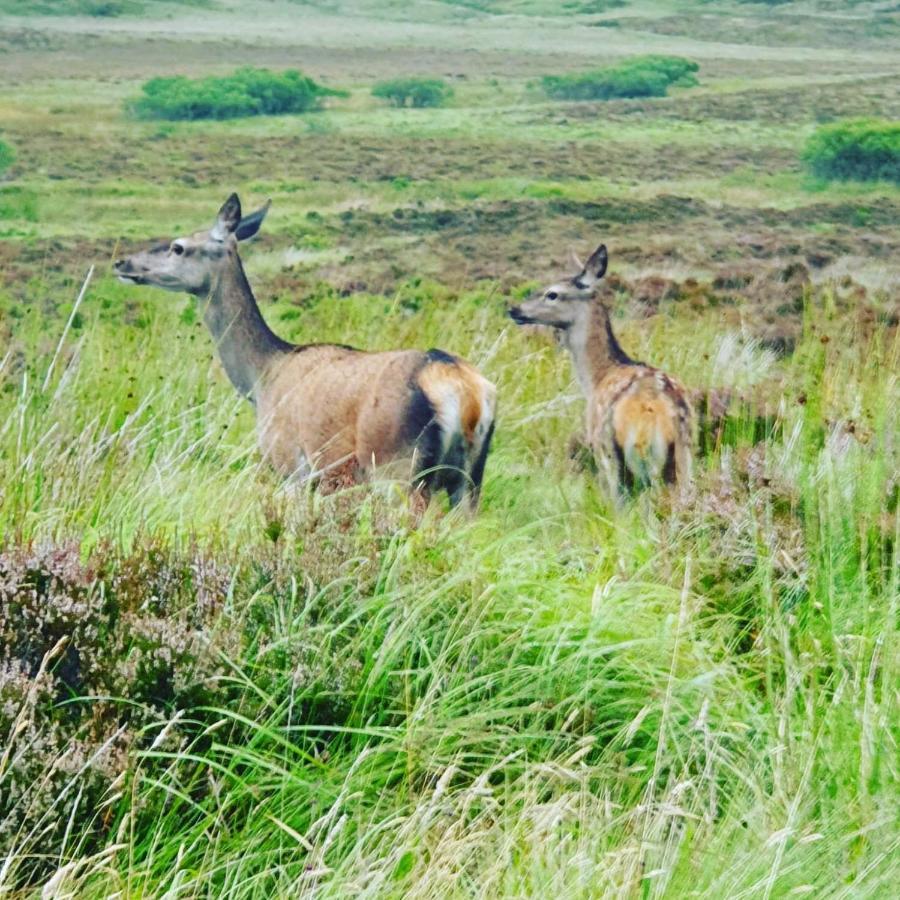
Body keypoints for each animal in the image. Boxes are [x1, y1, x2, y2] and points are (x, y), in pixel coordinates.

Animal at [115, 192, 496, 510]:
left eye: (178, 247)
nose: (122, 263)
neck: (261, 379)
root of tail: (467, 395)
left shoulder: (289, 463)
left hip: (397, 467)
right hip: (470, 477)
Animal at [510, 243, 692, 502]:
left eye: (552, 293)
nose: (514, 309)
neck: (596, 378)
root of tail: (666, 411)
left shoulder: (599, 445)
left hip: (638, 452)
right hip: (685, 452)